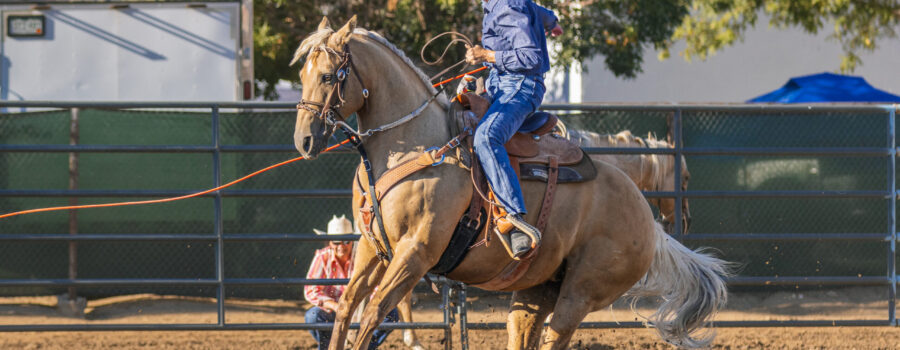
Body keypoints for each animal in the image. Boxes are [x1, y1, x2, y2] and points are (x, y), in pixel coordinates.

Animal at [292, 17, 728, 350]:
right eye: (302, 74)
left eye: (329, 75)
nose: (304, 141)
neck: (413, 145)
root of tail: (647, 221)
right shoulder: (372, 248)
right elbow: (347, 309)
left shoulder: (415, 251)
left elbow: (372, 314)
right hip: (537, 290)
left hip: (582, 291)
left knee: (557, 335)